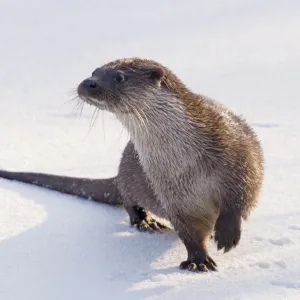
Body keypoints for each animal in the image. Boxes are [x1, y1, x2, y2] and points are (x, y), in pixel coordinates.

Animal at [0, 58, 262, 272]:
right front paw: (197, 260)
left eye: (120, 77)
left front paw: (226, 233)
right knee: (129, 203)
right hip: (129, 182)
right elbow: (188, 231)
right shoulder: (172, 194)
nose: (88, 82)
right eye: (94, 71)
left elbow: (240, 195)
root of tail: (118, 173)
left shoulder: (238, 156)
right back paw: (146, 222)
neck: (188, 163)